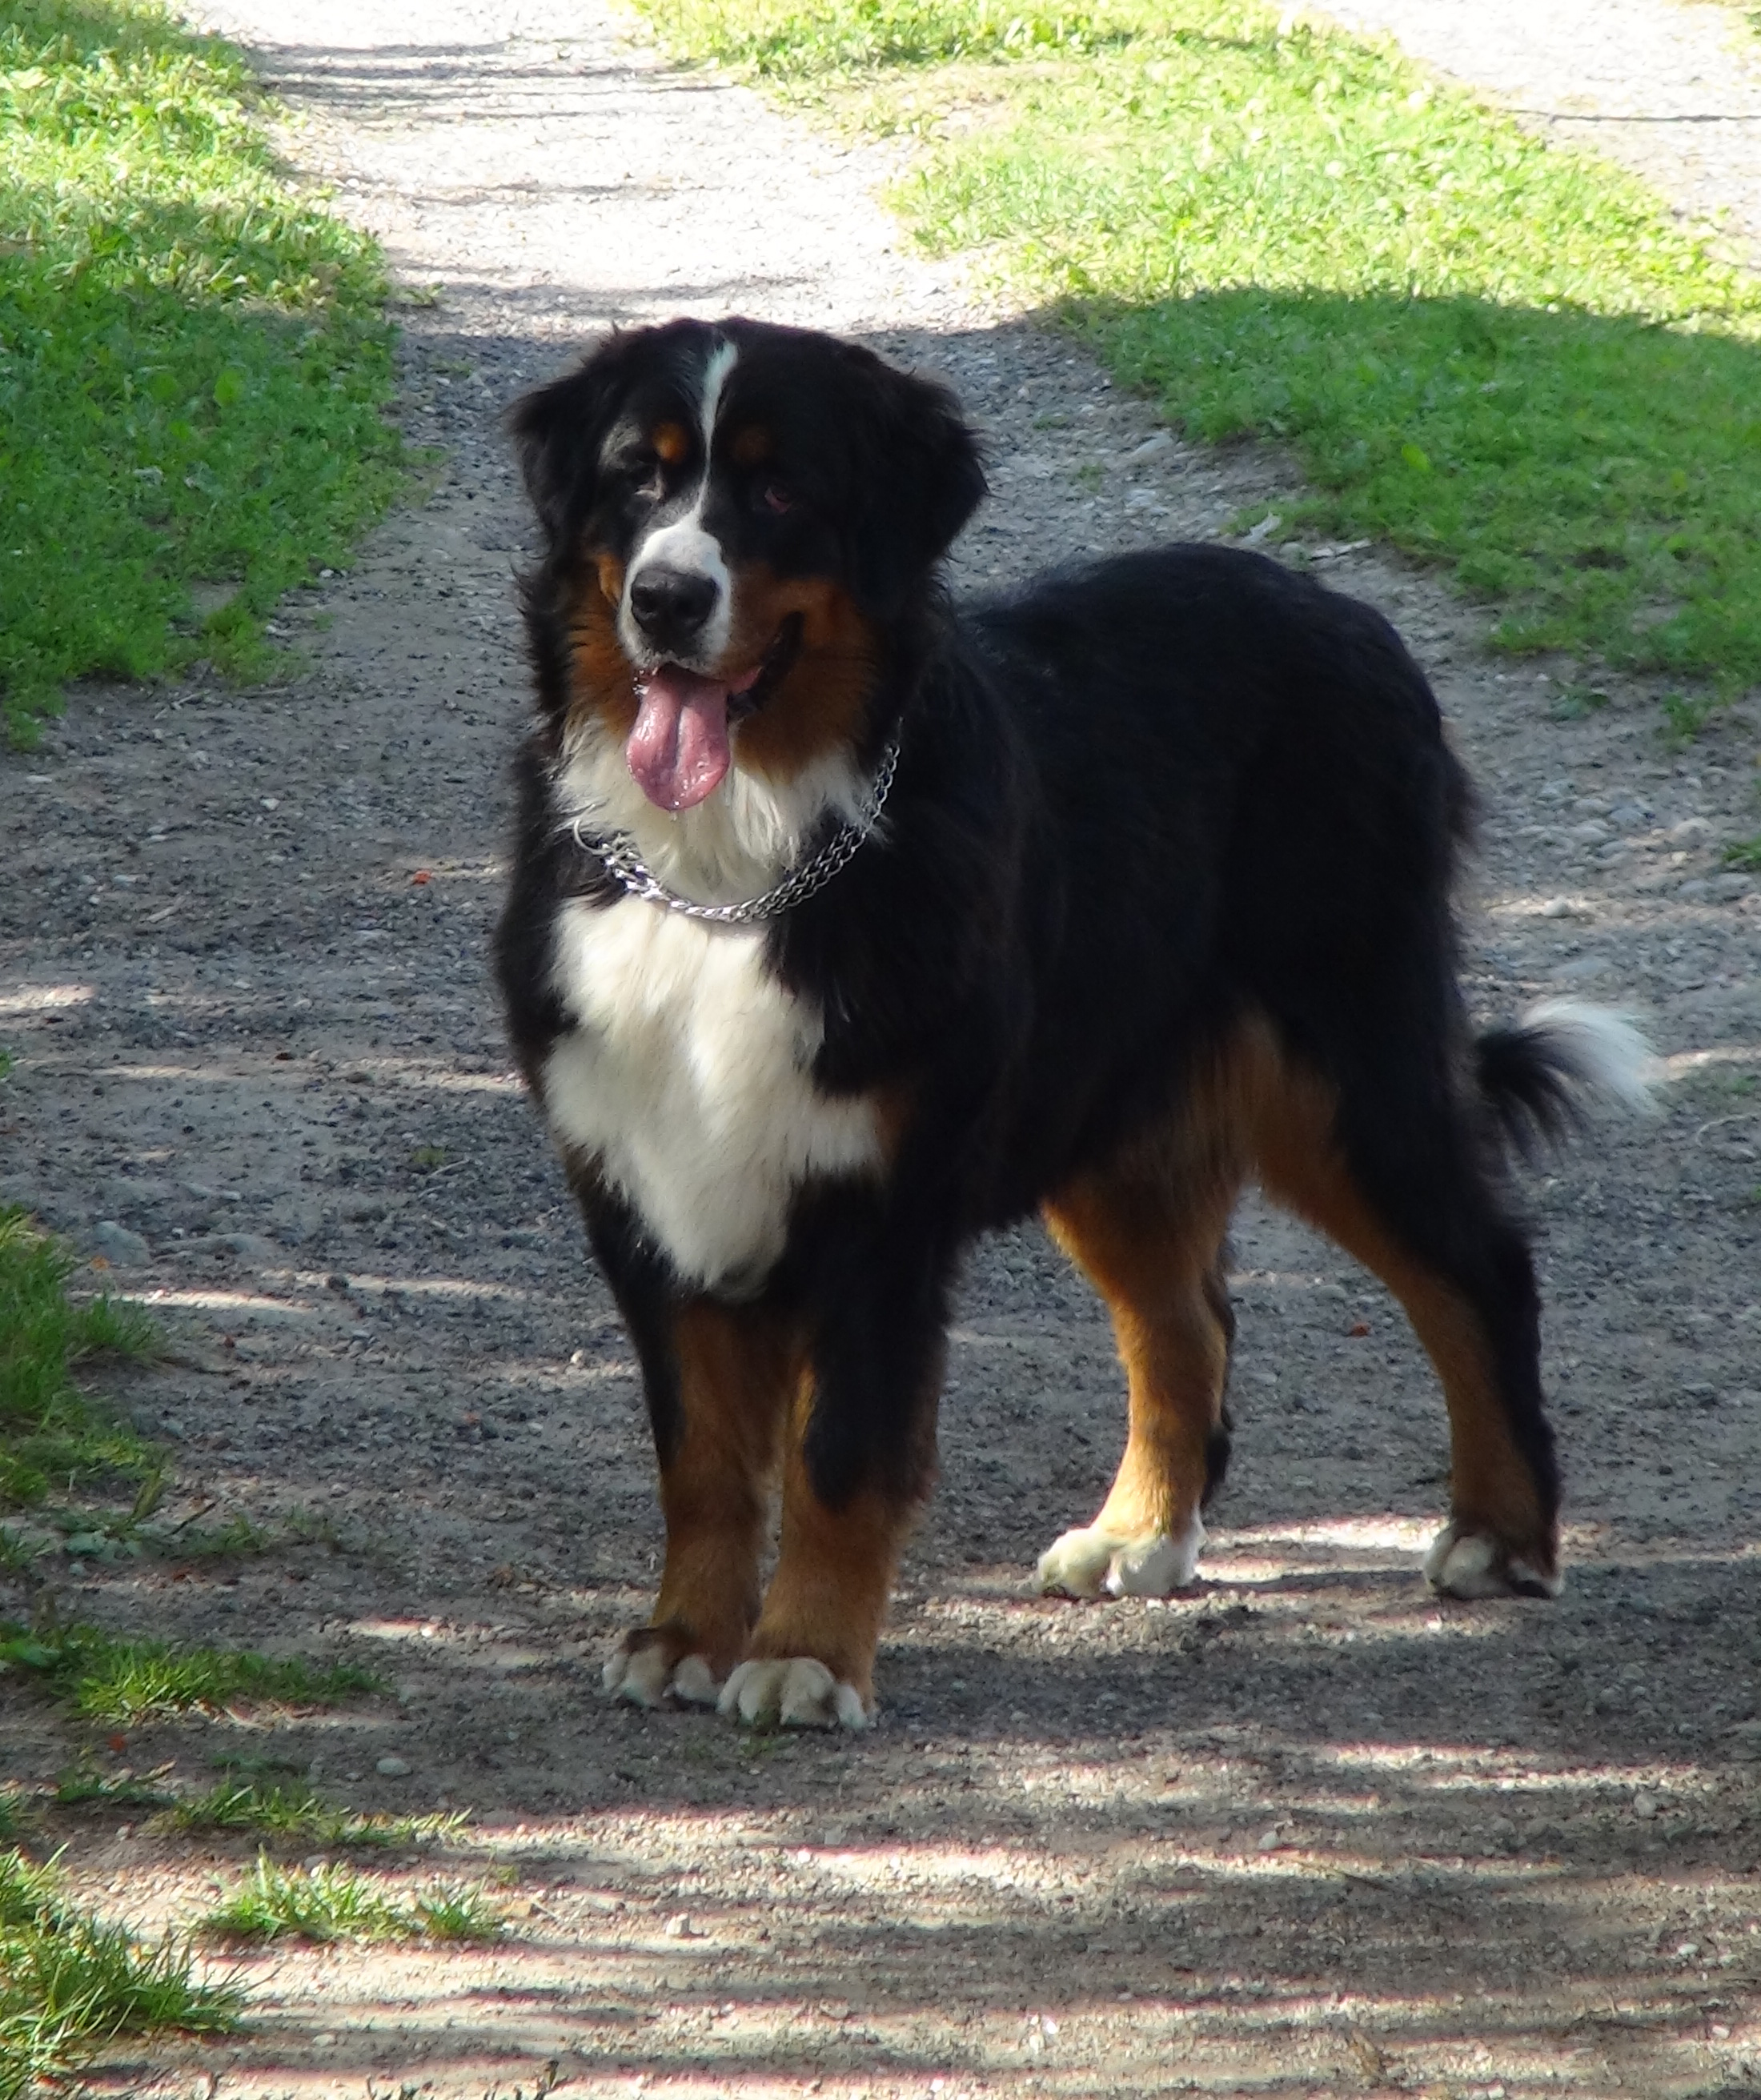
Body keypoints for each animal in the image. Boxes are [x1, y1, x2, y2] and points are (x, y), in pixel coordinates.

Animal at [499, 311, 1655, 1721]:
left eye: (777, 492)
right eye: (637, 477)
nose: (666, 599)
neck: (729, 871)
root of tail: (1347, 613)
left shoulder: (880, 1205)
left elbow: (844, 1454)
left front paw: (806, 1655)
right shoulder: (648, 1188)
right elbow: (705, 1459)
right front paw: (683, 1637)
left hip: (1350, 1065)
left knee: (1478, 1270)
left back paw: (1504, 1534)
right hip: (1117, 1121)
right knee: (1184, 1325)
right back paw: (1141, 1534)